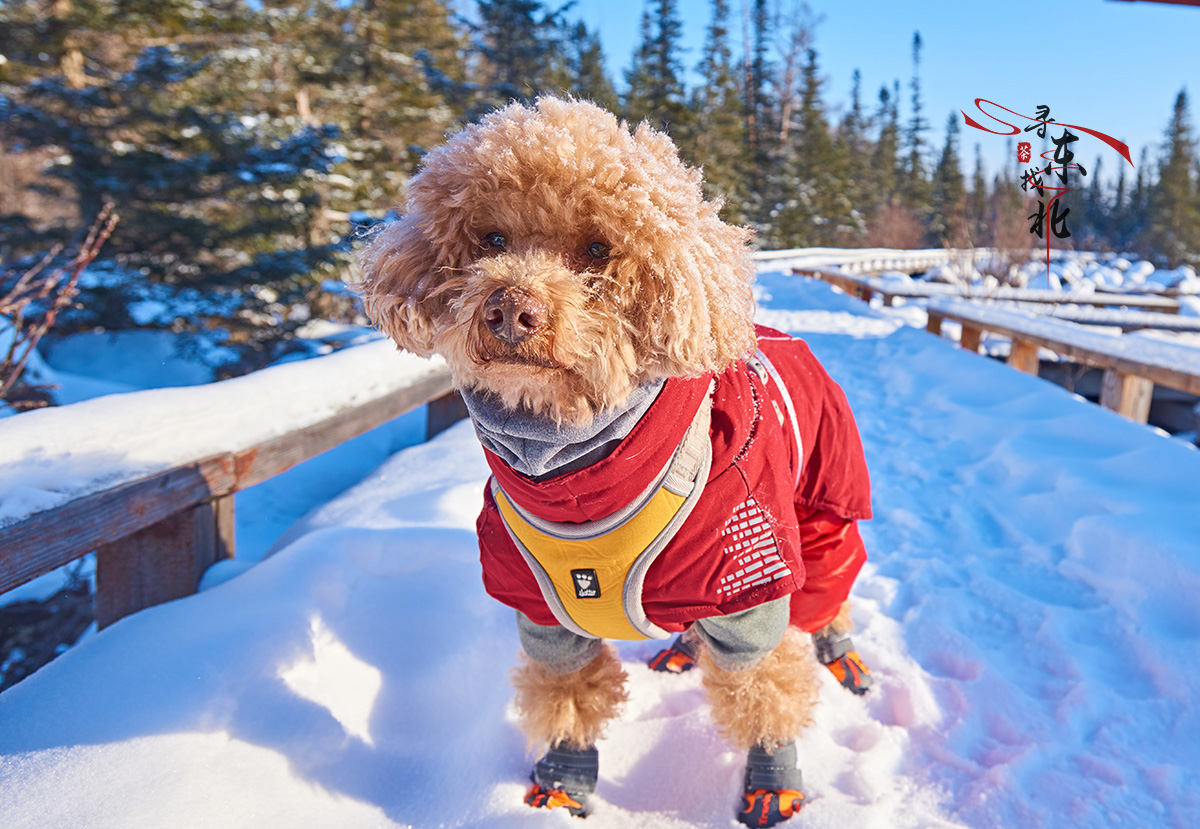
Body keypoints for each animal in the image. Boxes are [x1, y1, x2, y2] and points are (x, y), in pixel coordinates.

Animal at [355, 95, 873, 825]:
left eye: (598, 249)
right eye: (492, 239)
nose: (510, 308)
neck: (576, 472)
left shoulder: (745, 582)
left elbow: (762, 687)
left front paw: (773, 776)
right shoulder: (539, 603)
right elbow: (567, 689)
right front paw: (563, 777)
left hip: (822, 504)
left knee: (828, 586)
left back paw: (840, 651)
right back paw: (684, 649)